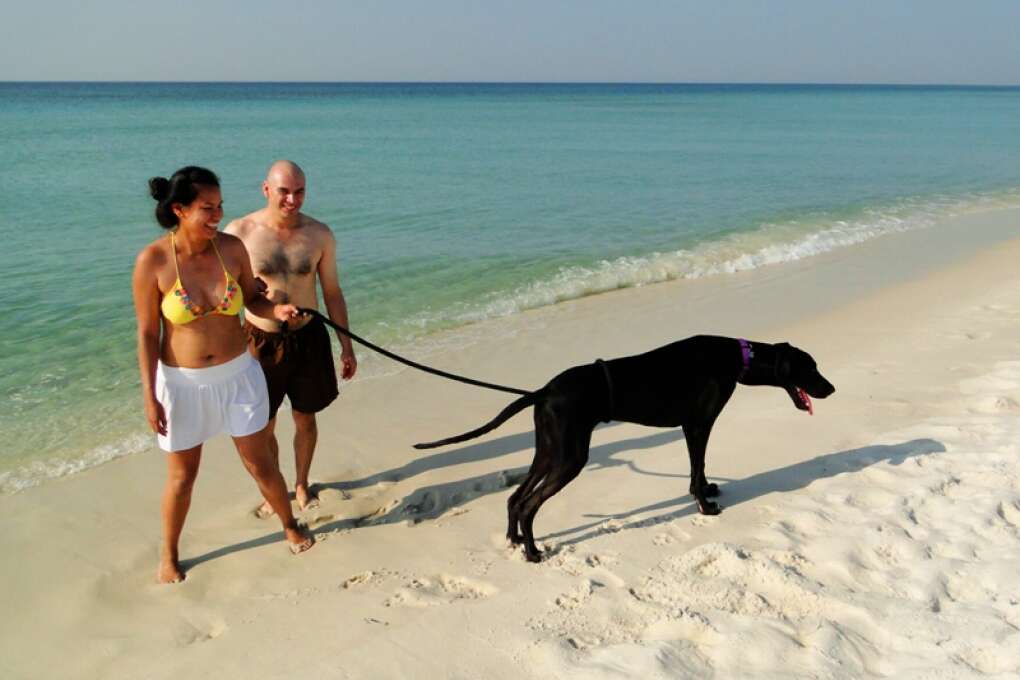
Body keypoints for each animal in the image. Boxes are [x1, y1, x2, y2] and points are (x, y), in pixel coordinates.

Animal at [416, 336, 836, 562]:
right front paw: (705, 504)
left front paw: (708, 490)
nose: (831, 388)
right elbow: (696, 468)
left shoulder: (694, 427)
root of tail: (544, 390)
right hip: (570, 458)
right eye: (810, 367)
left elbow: (699, 469)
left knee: (515, 498)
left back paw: (516, 539)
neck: (735, 357)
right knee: (530, 503)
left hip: (550, 451)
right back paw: (533, 552)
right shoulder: (697, 425)